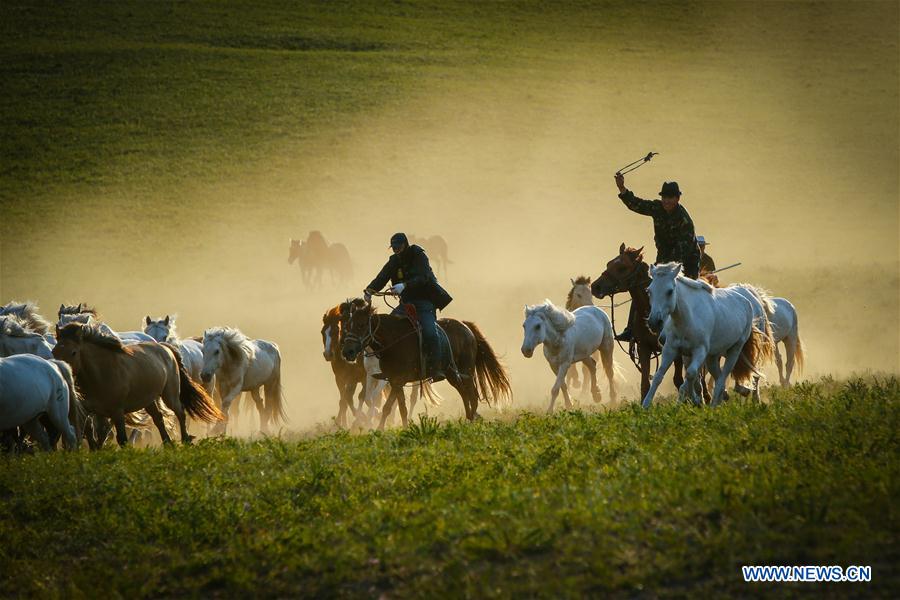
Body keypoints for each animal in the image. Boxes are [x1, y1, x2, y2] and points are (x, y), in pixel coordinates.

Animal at [51, 324, 222, 446]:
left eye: (73, 352)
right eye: (54, 351)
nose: (60, 370)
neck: (101, 373)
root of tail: (165, 348)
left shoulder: (117, 412)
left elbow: (121, 439)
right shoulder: (92, 411)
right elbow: (94, 435)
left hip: (170, 394)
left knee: (180, 412)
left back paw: (186, 440)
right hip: (149, 400)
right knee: (158, 418)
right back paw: (168, 443)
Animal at [340, 298, 510, 428]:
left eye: (361, 325)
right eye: (347, 326)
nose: (347, 351)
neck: (394, 341)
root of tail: (466, 327)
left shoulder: (397, 380)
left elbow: (387, 406)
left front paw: (379, 429)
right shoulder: (394, 381)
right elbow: (401, 407)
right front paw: (403, 428)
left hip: (466, 372)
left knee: (472, 395)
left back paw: (472, 421)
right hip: (452, 375)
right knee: (464, 394)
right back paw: (469, 418)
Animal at [596, 244, 712, 404]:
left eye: (622, 267)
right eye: (609, 264)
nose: (595, 287)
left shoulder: (675, 350)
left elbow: (678, 380)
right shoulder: (643, 348)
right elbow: (645, 383)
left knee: (700, 371)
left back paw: (706, 395)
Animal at [640, 262, 772, 408]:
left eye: (669, 291)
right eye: (649, 291)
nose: (653, 321)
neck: (688, 319)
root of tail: (748, 300)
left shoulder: (700, 351)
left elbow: (690, 374)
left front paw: (693, 401)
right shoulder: (671, 349)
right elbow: (659, 376)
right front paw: (646, 405)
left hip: (735, 351)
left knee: (724, 379)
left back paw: (716, 405)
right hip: (712, 357)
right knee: (719, 378)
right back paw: (719, 401)